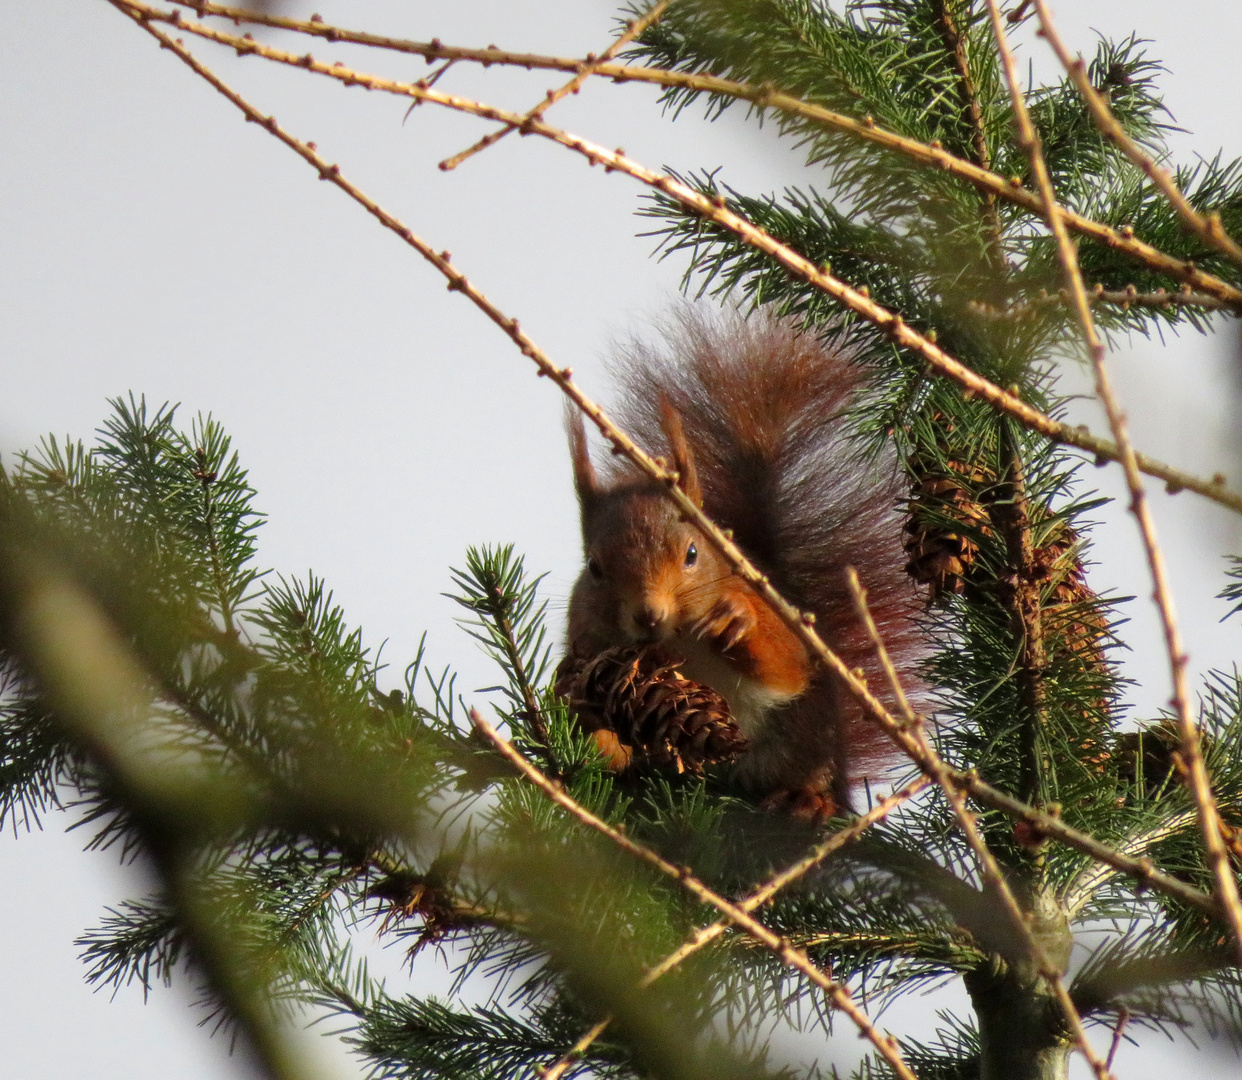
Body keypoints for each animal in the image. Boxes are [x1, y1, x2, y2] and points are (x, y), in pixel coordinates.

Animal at [563, 309, 924, 814]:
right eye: (595, 568)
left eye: (693, 554)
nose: (648, 614)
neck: (676, 641)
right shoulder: (586, 640)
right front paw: (597, 733)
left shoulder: (777, 628)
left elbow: (787, 665)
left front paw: (735, 619)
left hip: (808, 734)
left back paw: (805, 800)